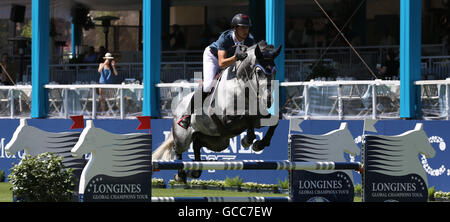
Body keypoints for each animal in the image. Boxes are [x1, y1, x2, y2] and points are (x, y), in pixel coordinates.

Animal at [153, 40, 284, 182]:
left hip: (218, 141)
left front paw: (259, 144)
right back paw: (180, 175)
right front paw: (247, 140)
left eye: (275, 71)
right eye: (259, 71)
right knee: (178, 149)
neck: (242, 88)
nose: (268, 100)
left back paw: (195, 172)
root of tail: (178, 107)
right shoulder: (227, 119)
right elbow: (247, 116)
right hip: (183, 138)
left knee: (197, 144)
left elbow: (275, 121)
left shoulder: (257, 118)